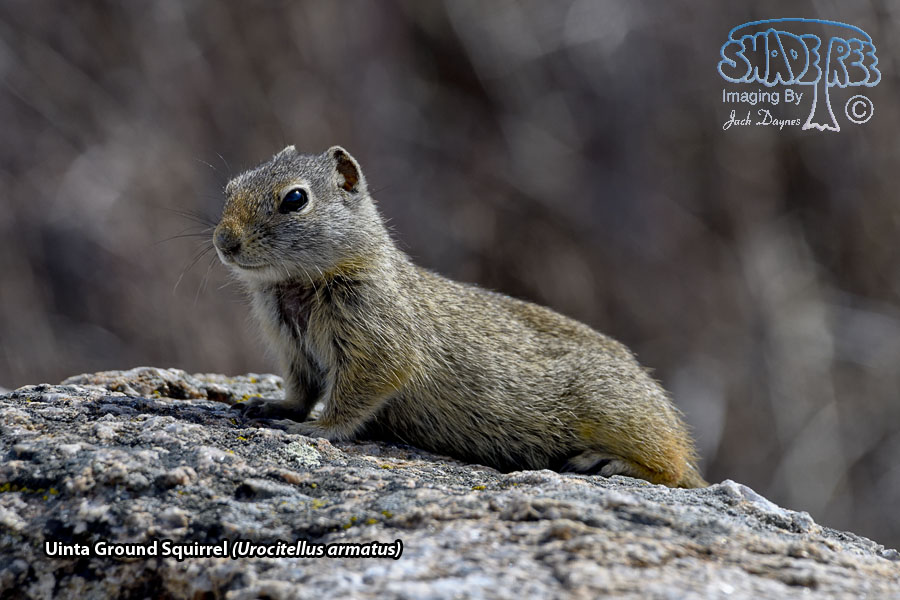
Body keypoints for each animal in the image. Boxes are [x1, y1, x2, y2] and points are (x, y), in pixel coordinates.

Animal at [213, 145, 707, 488]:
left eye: (295, 199)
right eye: (230, 187)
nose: (225, 241)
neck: (296, 286)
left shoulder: (375, 349)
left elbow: (350, 400)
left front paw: (316, 429)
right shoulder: (292, 350)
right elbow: (300, 390)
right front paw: (270, 406)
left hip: (615, 414)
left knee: (674, 469)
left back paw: (606, 462)